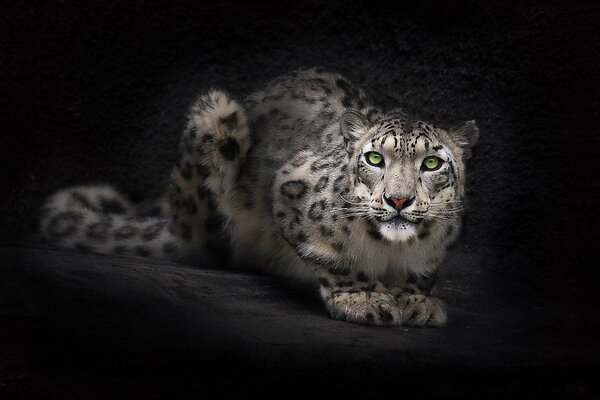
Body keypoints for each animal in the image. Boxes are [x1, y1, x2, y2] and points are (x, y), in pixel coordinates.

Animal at [39, 67, 478, 326]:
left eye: (432, 164)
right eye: (374, 158)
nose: (398, 201)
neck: (390, 251)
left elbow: (421, 272)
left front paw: (417, 301)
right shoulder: (290, 188)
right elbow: (331, 258)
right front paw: (364, 298)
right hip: (216, 120)